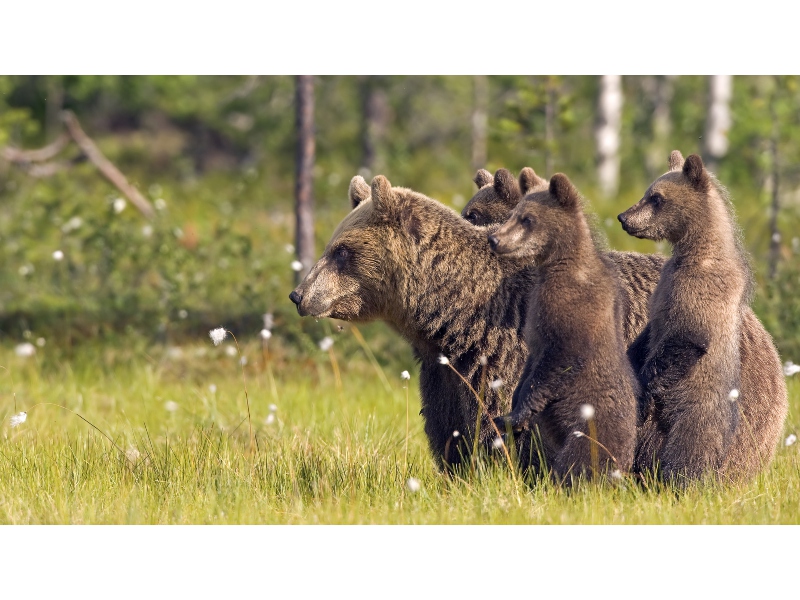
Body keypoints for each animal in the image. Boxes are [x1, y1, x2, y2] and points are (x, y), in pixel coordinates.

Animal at [290, 173, 540, 468]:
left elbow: (498, 418)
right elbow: (448, 429)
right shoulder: (443, 375)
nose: (298, 295)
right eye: (331, 247)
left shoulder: (501, 353)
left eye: (341, 251)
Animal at [488, 175, 636, 482]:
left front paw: (512, 416)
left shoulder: (571, 310)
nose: (494, 239)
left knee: (578, 463)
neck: (558, 265)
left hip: (592, 431)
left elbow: (558, 361)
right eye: (513, 214)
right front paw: (511, 410)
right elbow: (531, 364)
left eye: (528, 219)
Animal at [620, 152, 788, 486]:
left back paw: (681, 481)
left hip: (699, 410)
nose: (623, 217)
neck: (695, 250)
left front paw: (643, 390)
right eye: (648, 193)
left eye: (656, 197)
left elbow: (686, 338)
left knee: (688, 451)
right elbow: (648, 333)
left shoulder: (699, 291)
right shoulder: (663, 288)